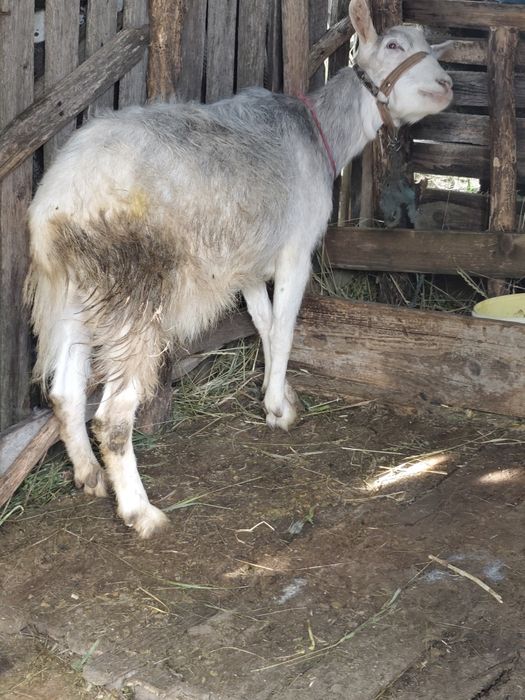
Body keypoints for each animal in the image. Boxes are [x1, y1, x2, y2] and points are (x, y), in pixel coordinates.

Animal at [25, 0, 453, 538]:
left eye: (430, 47)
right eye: (394, 45)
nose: (446, 85)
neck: (319, 133)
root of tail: (61, 199)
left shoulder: (246, 265)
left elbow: (265, 324)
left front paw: (280, 396)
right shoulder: (294, 248)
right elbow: (286, 327)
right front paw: (277, 409)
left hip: (75, 289)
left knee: (64, 393)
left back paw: (88, 475)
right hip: (135, 291)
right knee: (113, 416)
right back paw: (142, 512)